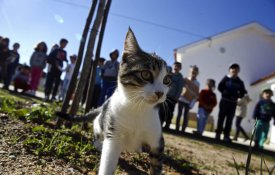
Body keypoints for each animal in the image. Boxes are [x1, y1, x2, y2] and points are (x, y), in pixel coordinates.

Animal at [57, 28, 171, 174]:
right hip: (101, 122)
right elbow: (108, 160)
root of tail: (104, 104)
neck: (137, 108)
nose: (160, 93)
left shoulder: (157, 141)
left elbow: (156, 165)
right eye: (146, 74)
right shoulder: (113, 133)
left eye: (167, 80)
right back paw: (99, 144)